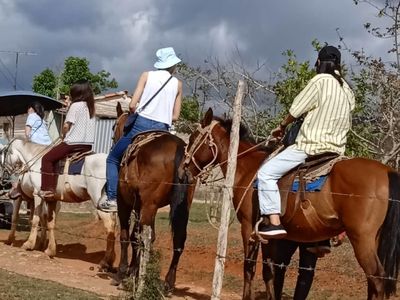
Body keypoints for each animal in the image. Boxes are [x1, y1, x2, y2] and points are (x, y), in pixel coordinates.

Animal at [1, 138, 117, 270]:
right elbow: (50, 223)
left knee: (109, 227)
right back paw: (111, 260)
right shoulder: (52, 200)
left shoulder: (37, 196)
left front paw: (28, 244)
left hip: (99, 202)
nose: (5, 177)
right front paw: (50, 250)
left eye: (3, 153)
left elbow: (33, 220)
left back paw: (105, 261)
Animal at [111, 104, 195, 292]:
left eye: (114, 127)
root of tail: (178, 147)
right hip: (178, 207)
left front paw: (123, 272)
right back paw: (168, 282)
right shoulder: (139, 205)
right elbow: (135, 236)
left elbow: (126, 236)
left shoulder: (125, 203)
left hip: (148, 207)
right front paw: (131, 271)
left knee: (146, 238)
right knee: (177, 239)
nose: (113, 141)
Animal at [183, 108, 400, 300]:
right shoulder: (270, 235)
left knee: (377, 280)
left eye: (193, 138)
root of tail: (387, 171)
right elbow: (269, 271)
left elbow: (249, 267)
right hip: (374, 240)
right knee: (373, 283)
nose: (185, 168)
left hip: (361, 239)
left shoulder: (248, 227)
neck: (247, 169)